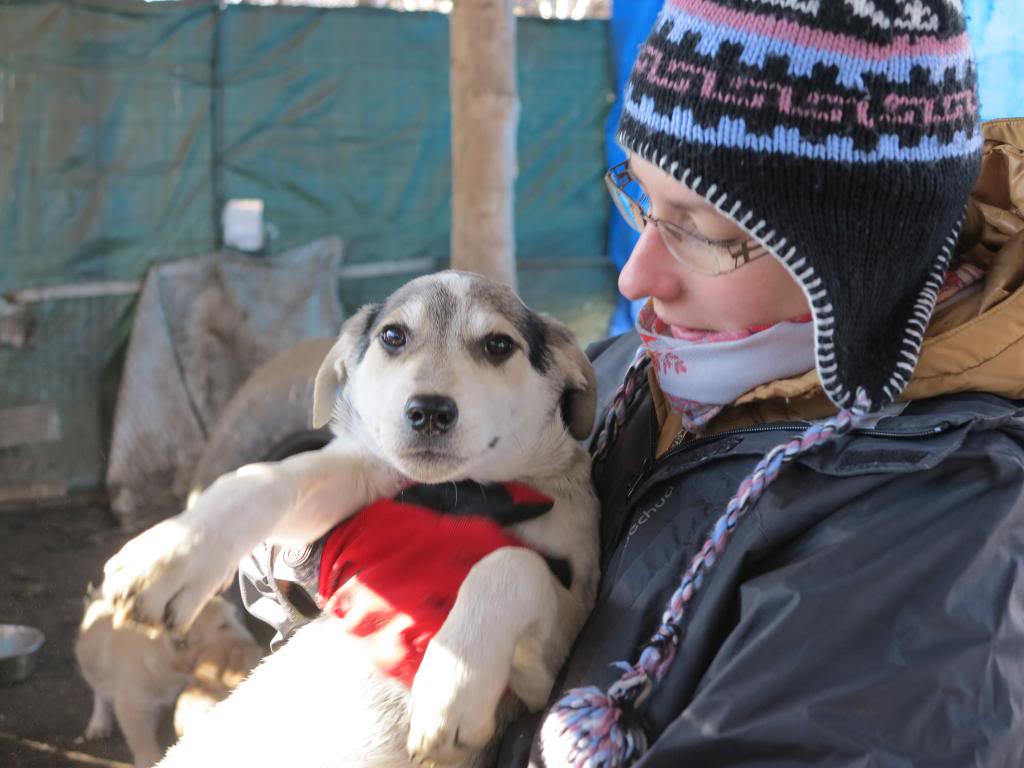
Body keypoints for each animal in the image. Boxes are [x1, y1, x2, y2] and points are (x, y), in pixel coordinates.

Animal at [75, 593, 264, 765]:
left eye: (236, 616)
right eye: (223, 625)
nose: (255, 645)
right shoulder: (133, 708)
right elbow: (145, 747)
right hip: (93, 667)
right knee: (99, 692)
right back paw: (99, 723)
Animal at [99, 272, 598, 768]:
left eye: (498, 345)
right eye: (393, 336)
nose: (429, 411)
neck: (461, 491)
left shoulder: (550, 666)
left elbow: (514, 563)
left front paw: (452, 687)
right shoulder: (364, 477)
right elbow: (268, 477)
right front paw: (170, 555)